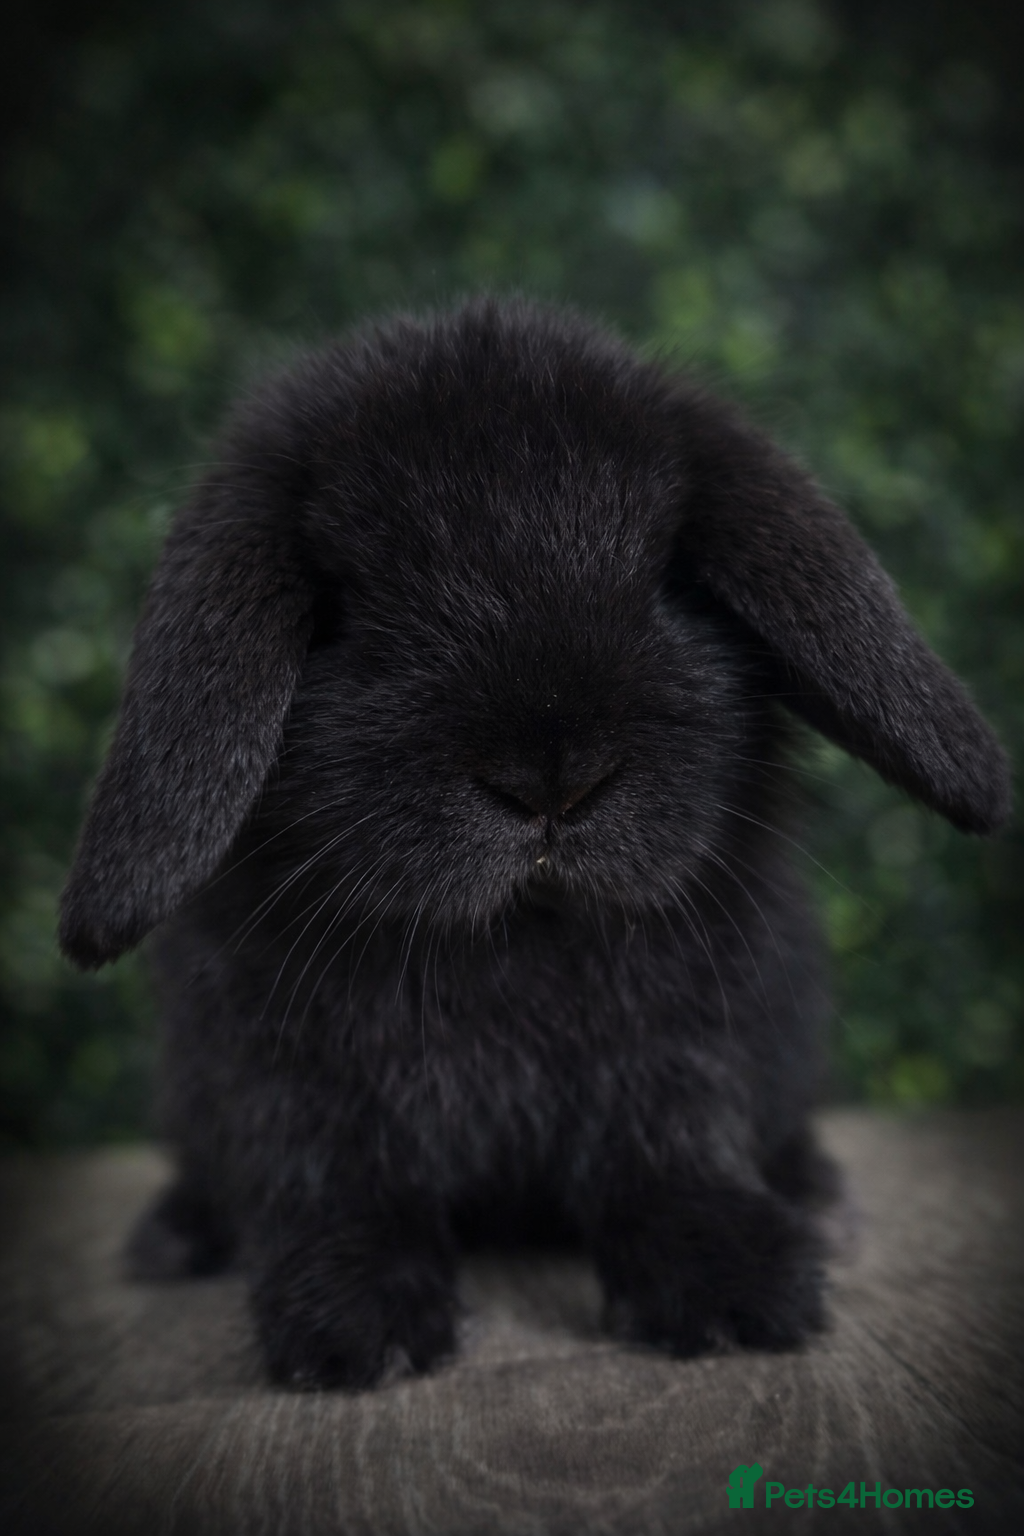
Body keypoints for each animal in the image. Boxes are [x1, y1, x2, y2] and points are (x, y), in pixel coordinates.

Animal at [59, 296, 1010, 1391]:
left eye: (668, 577)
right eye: (345, 606)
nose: (551, 781)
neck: (512, 937)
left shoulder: (687, 1043)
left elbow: (674, 1148)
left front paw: (736, 1290)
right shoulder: (279, 1068)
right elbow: (333, 1178)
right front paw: (354, 1326)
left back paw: (816, 1197)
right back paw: (175, 1237)